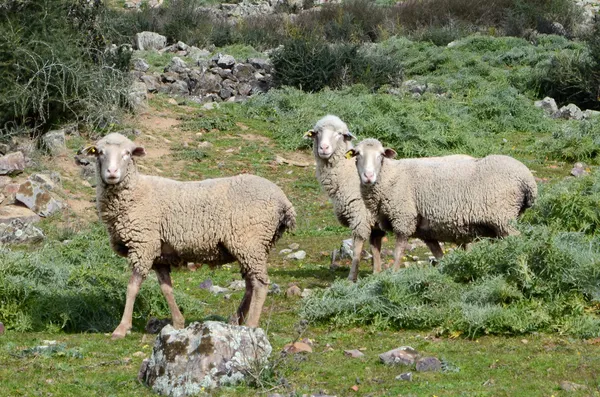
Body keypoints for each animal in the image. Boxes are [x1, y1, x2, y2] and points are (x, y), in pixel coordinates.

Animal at [81, 132, 296, 338]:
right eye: (100, 153)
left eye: (127, 153)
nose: (112, 173)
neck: (136, 193)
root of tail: (283, 200)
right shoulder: (159, 254)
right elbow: (166, 288)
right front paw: (178, 323)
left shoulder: (143, 245)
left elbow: (132, 287)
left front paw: (122, 328)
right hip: (254, 246)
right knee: (251, 282)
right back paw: (238, 319)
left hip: (250, 241)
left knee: (260, 284)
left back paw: (251, 325)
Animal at [346, 138, 540, 268]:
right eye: (357, 155)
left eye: (381, 156)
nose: (368, 176)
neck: (390, 177)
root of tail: (528, 180)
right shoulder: (426, 230)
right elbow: (438, 255)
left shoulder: (403, 218)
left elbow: (398, 251)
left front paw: (392, 275)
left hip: (504, 218)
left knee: (519, 240)